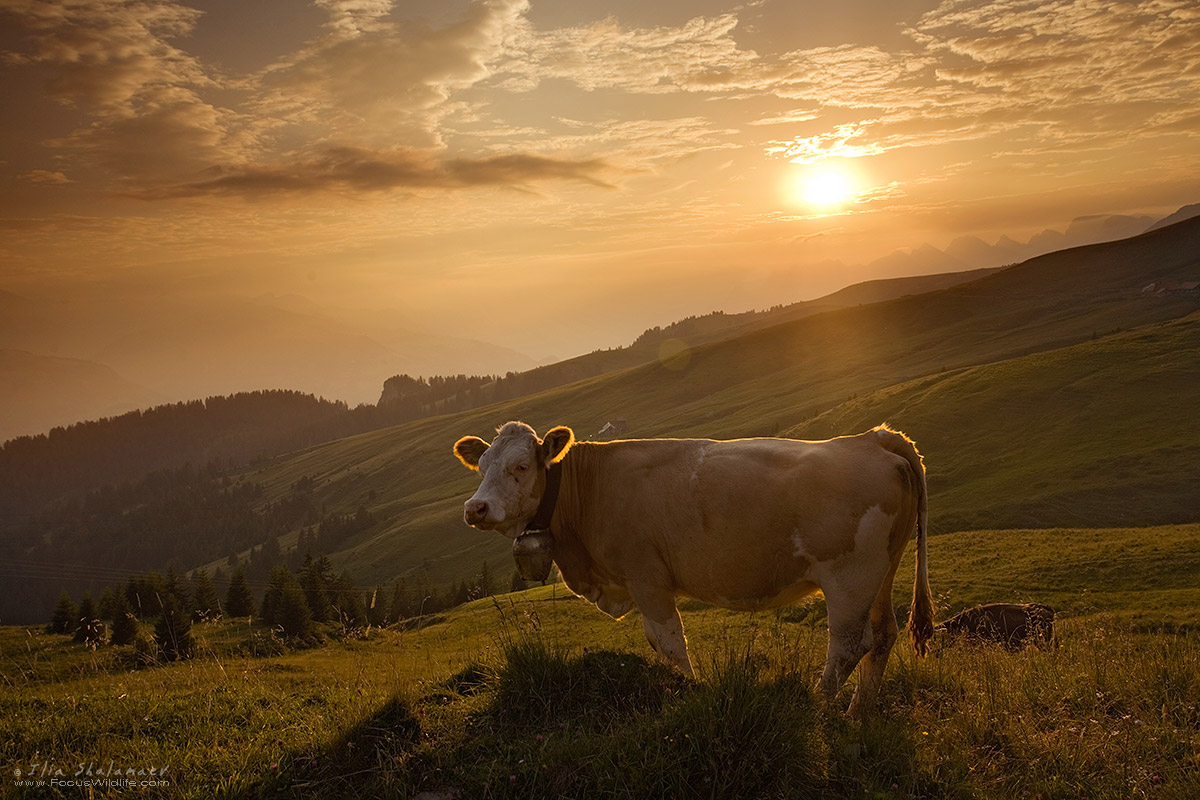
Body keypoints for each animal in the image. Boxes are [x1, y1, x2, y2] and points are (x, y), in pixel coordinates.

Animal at [453, 422, 931, 714]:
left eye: (520, 466)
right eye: (480, 467)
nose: (476, 508)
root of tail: (871, 437)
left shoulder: (646, 577)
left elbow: (669, 641)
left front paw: (688, 690)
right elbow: (655, 642)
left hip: (850, 576)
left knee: (850, 644)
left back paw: (819, 705)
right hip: (881, 573)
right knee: (883, 635)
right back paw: (858, 714)